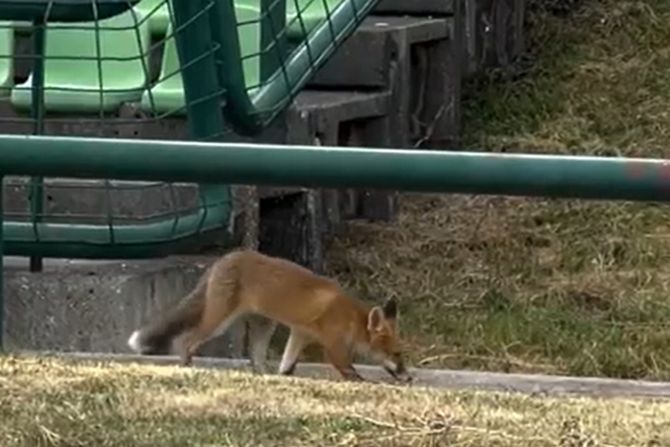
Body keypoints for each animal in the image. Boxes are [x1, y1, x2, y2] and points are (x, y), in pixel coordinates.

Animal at [124, 248, 410, 382]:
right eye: (397, 354)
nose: (409, 377)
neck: (351, 318)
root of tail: (224, 258)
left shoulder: (299, 333)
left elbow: (287, 366)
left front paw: (284, 378)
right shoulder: (333, 345)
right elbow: (351, 372)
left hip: (265, 325)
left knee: (256, 358)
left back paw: (262, 375)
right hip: (219, 321)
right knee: (186, 341)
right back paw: (187, 367)